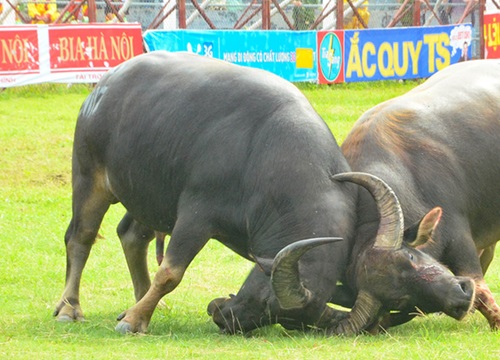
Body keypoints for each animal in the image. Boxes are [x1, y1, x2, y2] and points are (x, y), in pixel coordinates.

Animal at [52, 50, 474, 334]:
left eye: (283, 318)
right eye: (268, 300)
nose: (225, 317)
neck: (268, 155)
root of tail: (107, 83)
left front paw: (137, 314)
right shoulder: (195, 214)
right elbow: (171, 271)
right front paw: (134, 321)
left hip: (147, 194)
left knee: (131, 236)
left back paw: (136, 302)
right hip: (89, 175)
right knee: (81, 237)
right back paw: (70, 309)